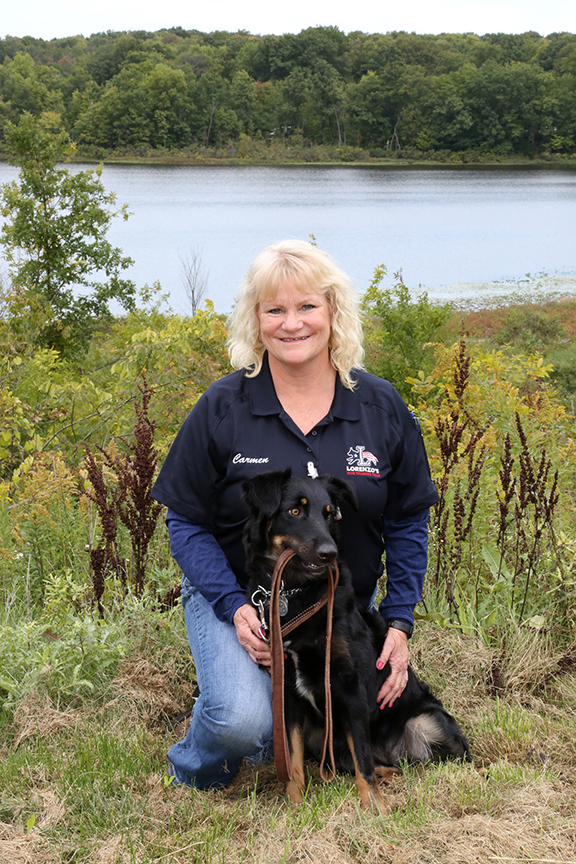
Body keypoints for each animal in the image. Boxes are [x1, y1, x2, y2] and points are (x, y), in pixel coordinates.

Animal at [241, 466, 470, 808]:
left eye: (329, 514)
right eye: (295, 511)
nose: (329, 553)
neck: (298, 592)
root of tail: (394, 752)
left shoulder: (350, 688)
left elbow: (361, 756)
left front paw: (373, 807)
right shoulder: (286, 695)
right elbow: (292, 760)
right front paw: (295, 804)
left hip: (428, 721)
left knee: (456, 757)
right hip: (321, 739)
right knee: (382, 765)